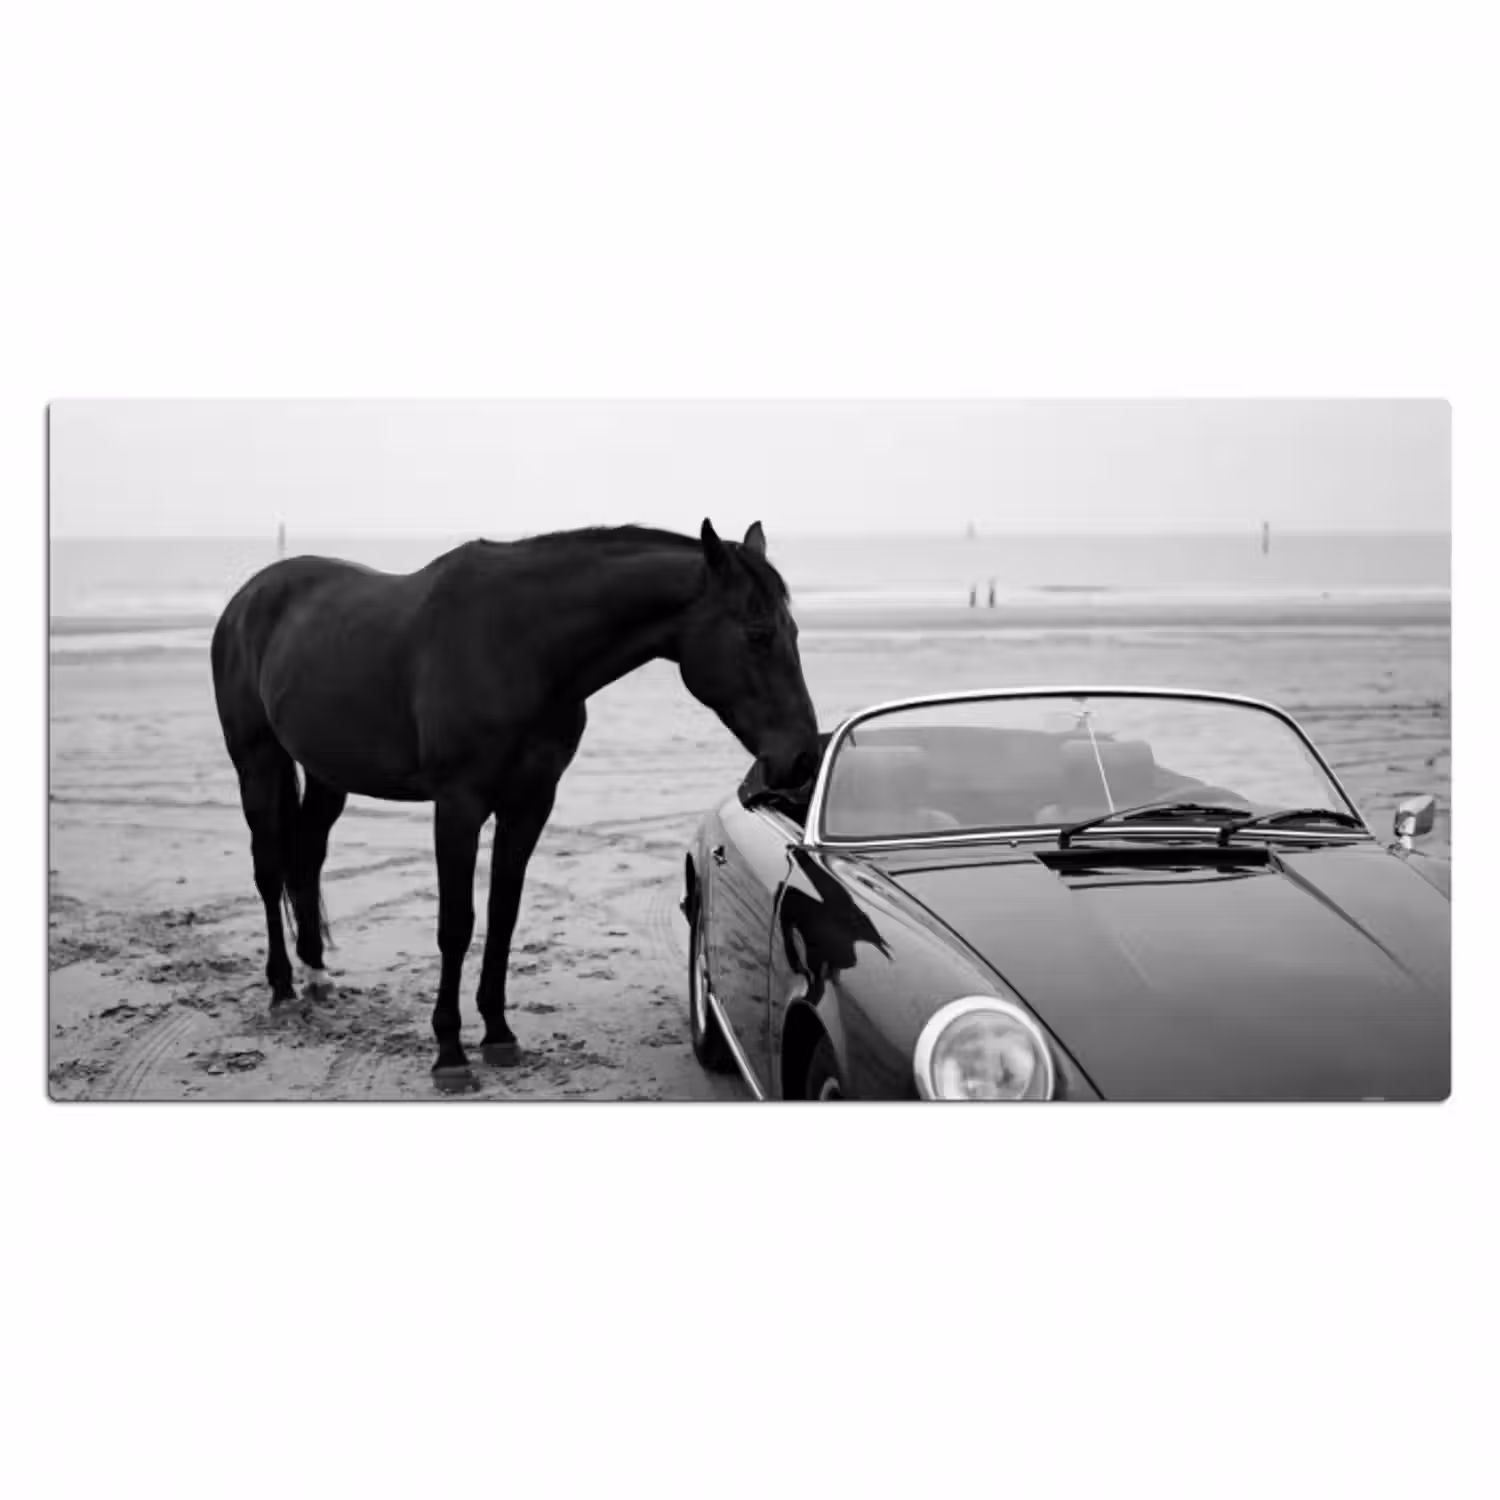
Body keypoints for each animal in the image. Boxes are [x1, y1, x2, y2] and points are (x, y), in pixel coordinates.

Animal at [210, 520, 820, 1090]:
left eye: (793, 631)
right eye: (758, 634)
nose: (803, 758)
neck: (520, 645)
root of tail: (248, 597)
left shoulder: (529, 804)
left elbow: (503, 914)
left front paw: (498, 1035)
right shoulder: (458, 806)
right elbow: (456, 924)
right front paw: (450, 1053)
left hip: (326, 773)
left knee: (306, 856)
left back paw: (315, 974)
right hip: (256, 762)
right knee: (269, 868)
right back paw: (282, 989)